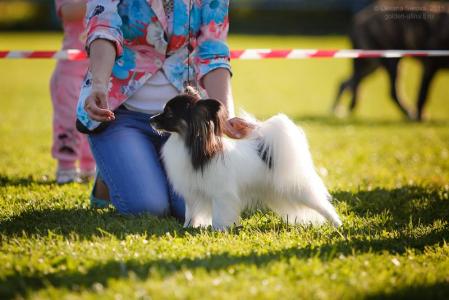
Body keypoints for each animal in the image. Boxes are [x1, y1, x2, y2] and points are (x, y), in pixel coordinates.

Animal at [149, 94, 342, 230]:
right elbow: (191, 214)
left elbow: (219, 216)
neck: (188, 144)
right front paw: (188, 228)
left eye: (169, 114)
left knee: (324, 205)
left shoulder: (222, 195)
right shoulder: (193, 194)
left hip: (299, 189)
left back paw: (338, 225)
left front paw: (219, 230)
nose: (150, 119)